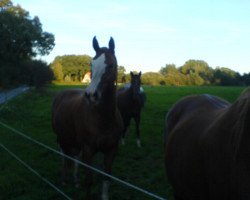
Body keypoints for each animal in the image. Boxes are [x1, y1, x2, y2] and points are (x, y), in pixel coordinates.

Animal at [51, 36, 123, 199]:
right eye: (91, 64)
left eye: (111, 65)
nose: (91, 95)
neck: (103, 119)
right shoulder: (88, 150)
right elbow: (89, 181)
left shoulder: (111, 151)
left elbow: (106, 179)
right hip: (61, 138)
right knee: (64, 156)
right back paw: (64, 179)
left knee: (75, 157)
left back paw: (75, 180)